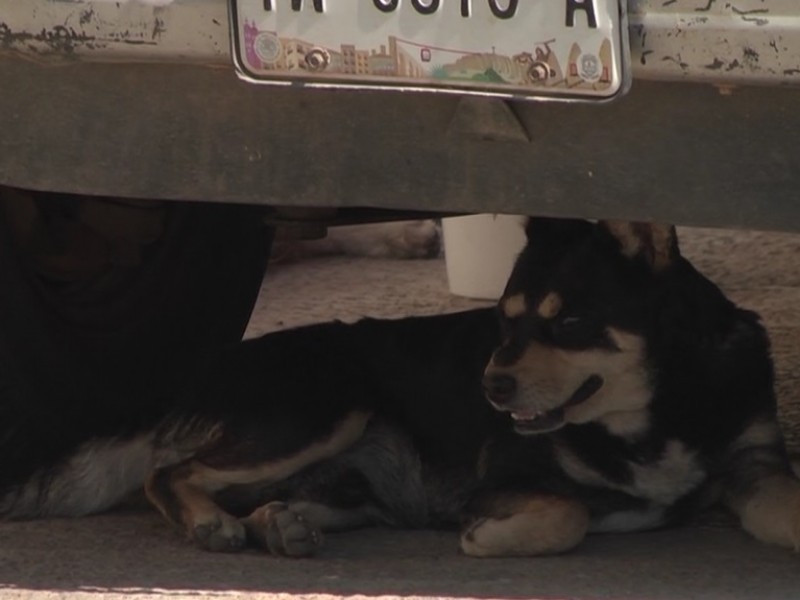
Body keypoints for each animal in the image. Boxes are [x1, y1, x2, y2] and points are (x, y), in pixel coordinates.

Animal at [1, 218, 800, 556]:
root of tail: (200, 373)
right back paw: (210, 522)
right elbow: (567, 513)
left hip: (347, 483)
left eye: (569, 323)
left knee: (260, 498)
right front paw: (493, 539)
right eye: (503, 320)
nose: (492, 387)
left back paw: (279, 527)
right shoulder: (507, 476)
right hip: (327, 408)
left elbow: (782, 507)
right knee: (169, 474)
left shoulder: (755, 463)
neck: (661, 409)